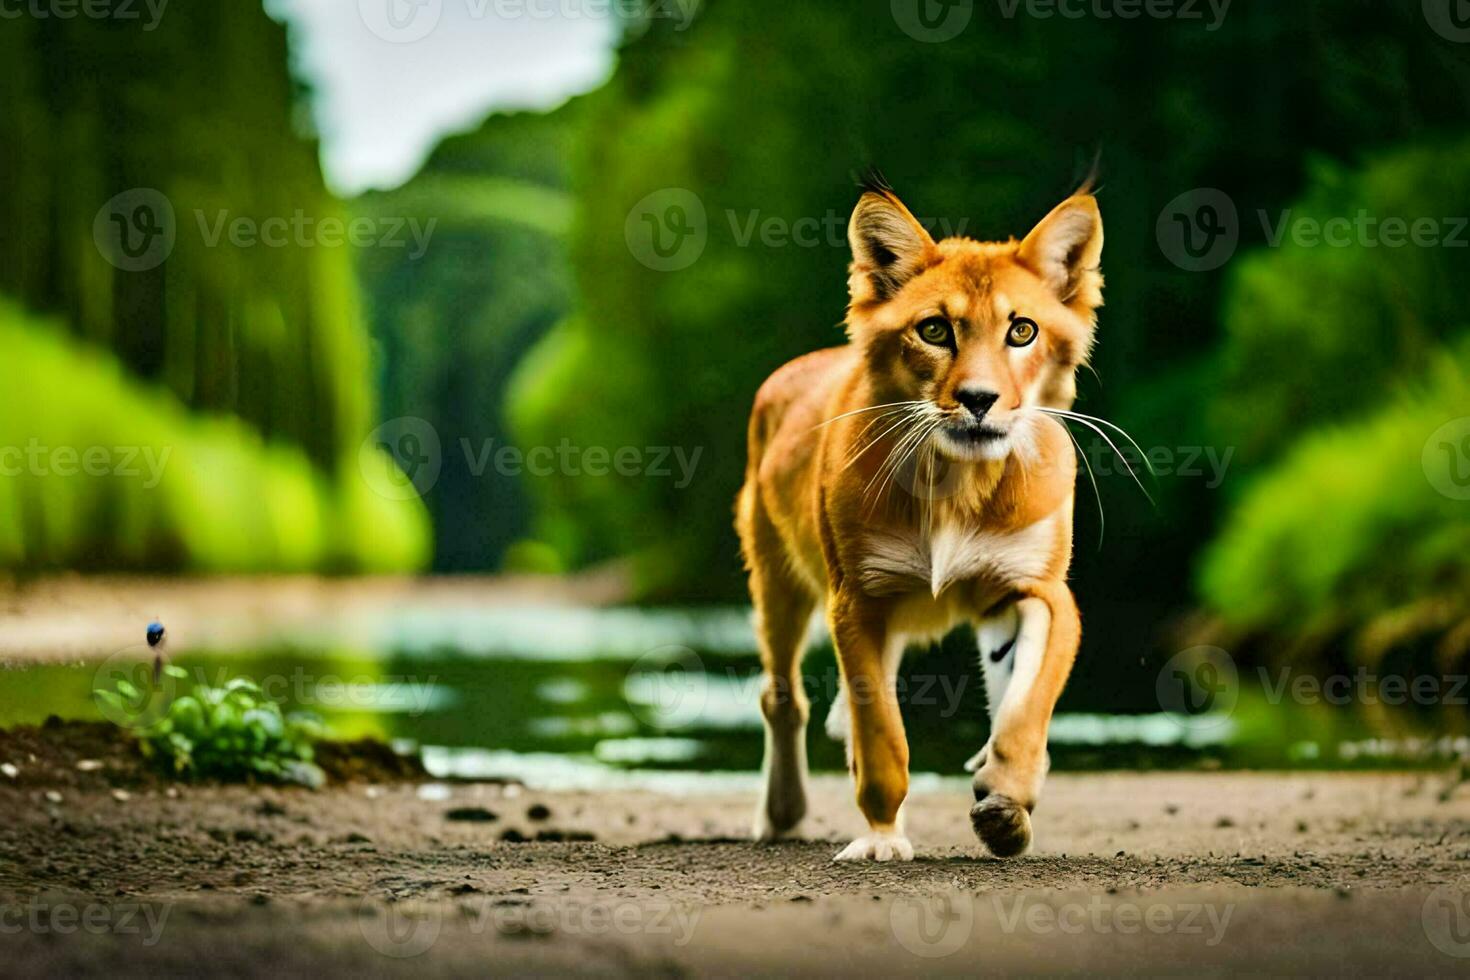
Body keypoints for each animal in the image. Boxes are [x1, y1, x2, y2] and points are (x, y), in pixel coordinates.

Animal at [735, 172, 1105, 863]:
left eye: (1022, 331)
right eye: (935, 330)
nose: (980, 400)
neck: (959, 482)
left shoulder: (1038, 591)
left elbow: (1026, 705)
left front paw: (1006, 799)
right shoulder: (858, 600)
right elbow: (881, 736)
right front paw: (881, 838)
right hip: (778, 581)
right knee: (783, 698)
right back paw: (782, 812)